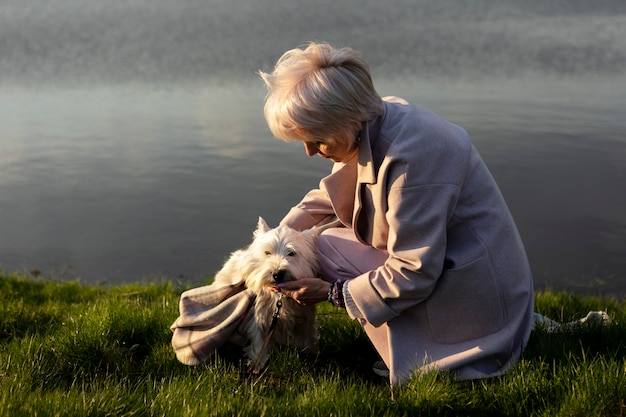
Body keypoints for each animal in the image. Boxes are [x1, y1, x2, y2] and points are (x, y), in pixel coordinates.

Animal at [212, 216, 336, 372]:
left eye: (292, 253)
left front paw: (312, 359)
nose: (277, 274)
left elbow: (307, 341)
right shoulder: (259, 318)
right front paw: (257, 367)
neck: (280, 297)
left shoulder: (305, 318)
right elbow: (259, 343)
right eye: (267, 253)